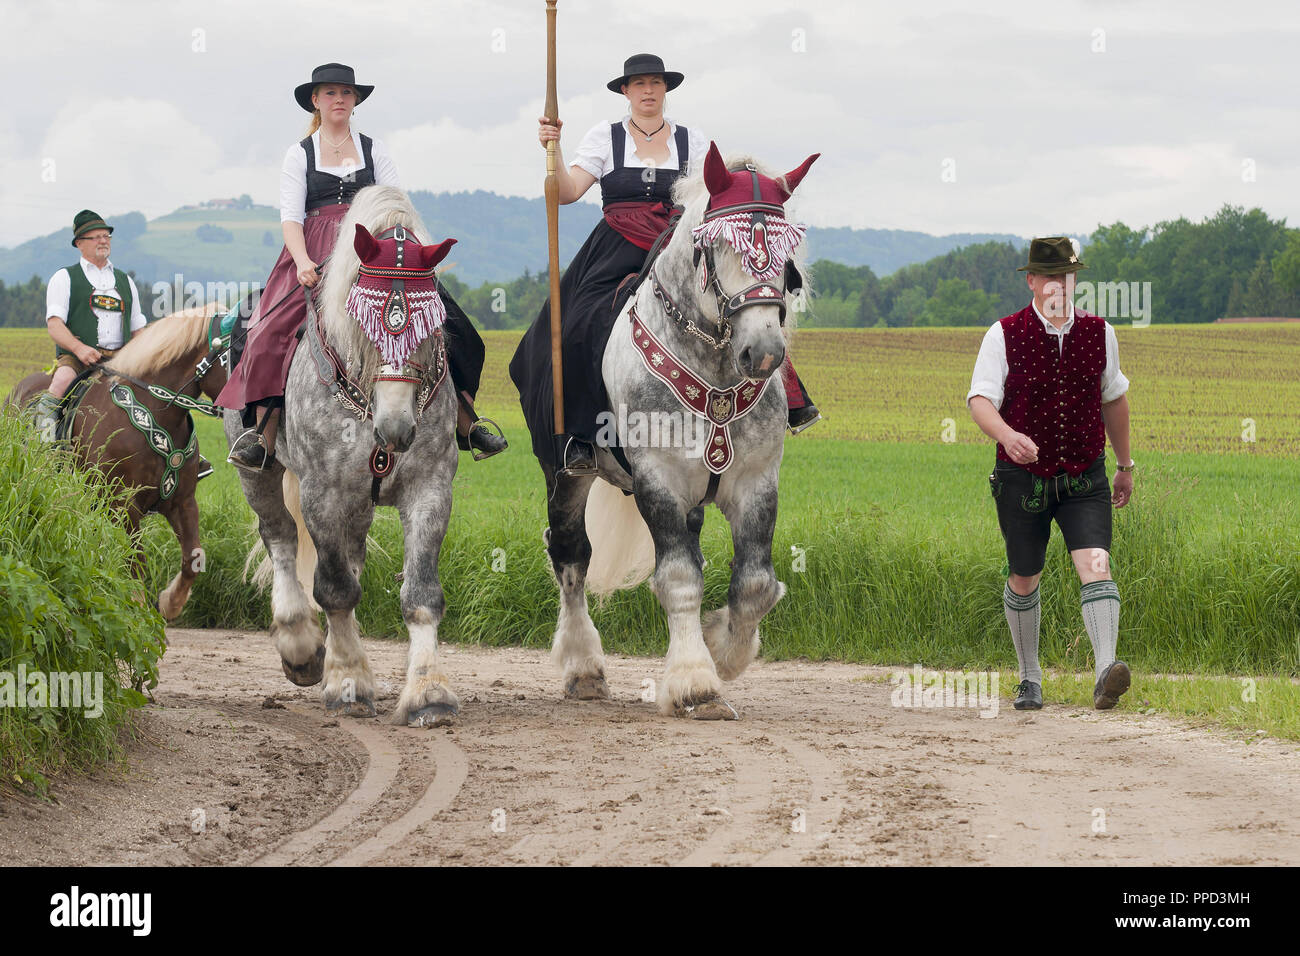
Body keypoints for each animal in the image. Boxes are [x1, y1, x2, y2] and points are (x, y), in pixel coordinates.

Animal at [226, 184, 465, 723]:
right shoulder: (322, 493)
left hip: (360, 500)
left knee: (350, 558)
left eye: (429, 326)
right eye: (365, 325)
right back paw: (301, 647)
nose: (395, 431)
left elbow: (421, 594)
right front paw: (348, 681)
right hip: (260, 474)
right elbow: (333, 587)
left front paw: (428, 692)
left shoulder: (430, 489)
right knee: (281, 538)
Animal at [538, 143, 811, 717]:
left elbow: (755, 583)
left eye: (785, 249)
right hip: (565, 472)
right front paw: (695, 682)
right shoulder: (658, 481)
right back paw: (583, 667)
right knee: (571, 554)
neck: (715, 366)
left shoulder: (756, 481)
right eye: (721, 245)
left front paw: (723, 649)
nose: (764, 352)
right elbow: (681, 578)